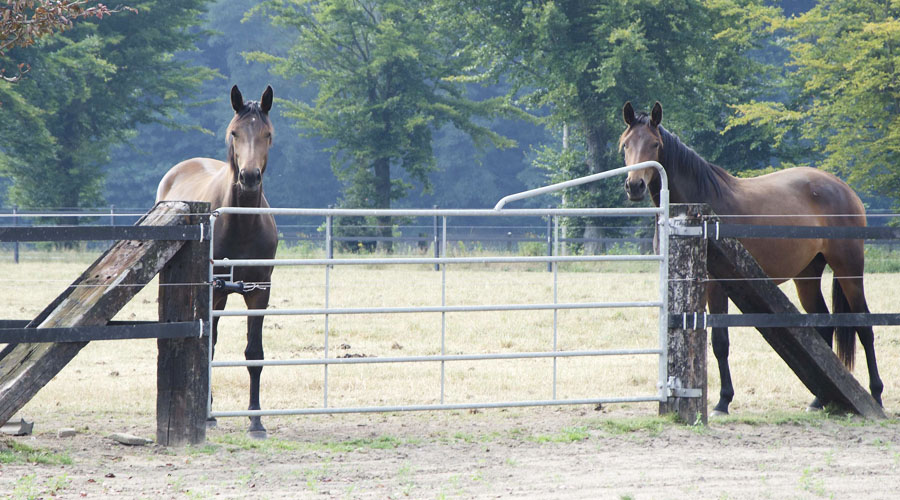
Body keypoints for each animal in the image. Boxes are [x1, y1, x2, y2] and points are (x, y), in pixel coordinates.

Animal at [156, 85, 278, 438]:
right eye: (234, 133)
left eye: (267, 134)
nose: (249, 177)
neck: (242, 223)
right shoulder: (214, 290)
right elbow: (207, 347)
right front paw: (208, 416)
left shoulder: (259, 290)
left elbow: (254, 353)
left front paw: (256, 421)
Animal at [619, 101, 882, 415]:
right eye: (625, 145)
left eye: (655, 144)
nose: (634, 185)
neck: (698, 204)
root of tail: (842, 187)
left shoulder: (716, 286)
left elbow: (720, 341)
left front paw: (722, 401)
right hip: (807, 275)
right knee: (823, 325)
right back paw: (819, 400)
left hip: (848, 268)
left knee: (864, 326)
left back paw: (876, 396)